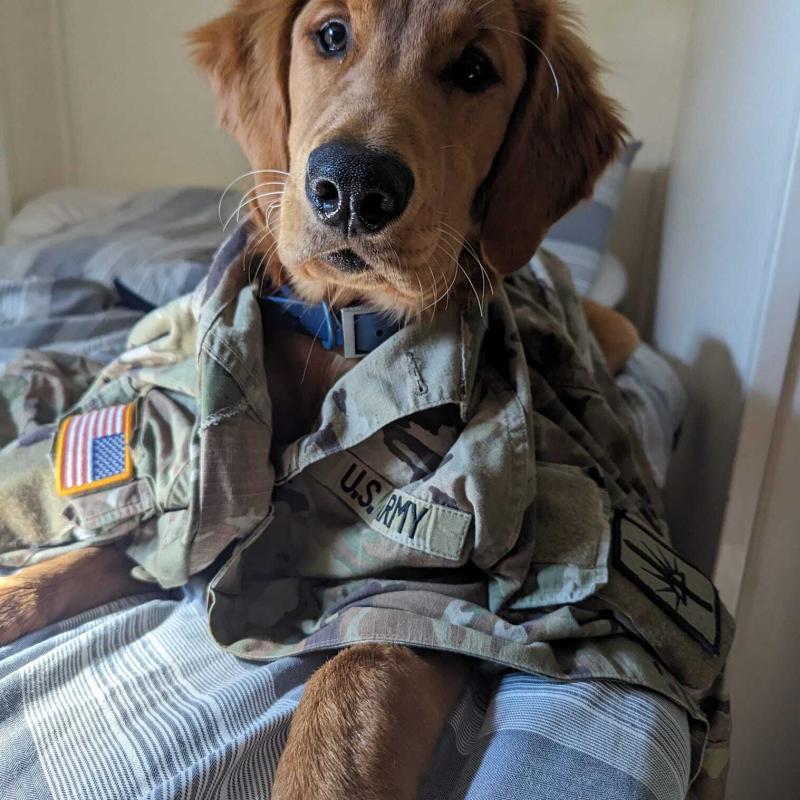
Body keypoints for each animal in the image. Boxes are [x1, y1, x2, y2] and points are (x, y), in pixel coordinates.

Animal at [0, 1, 638, 797]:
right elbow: (72, 565)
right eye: (331, 34)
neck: (338, 324)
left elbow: (347, 692)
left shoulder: (423, 596)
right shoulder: (191, 510)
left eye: (474, 69)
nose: (355, 185)